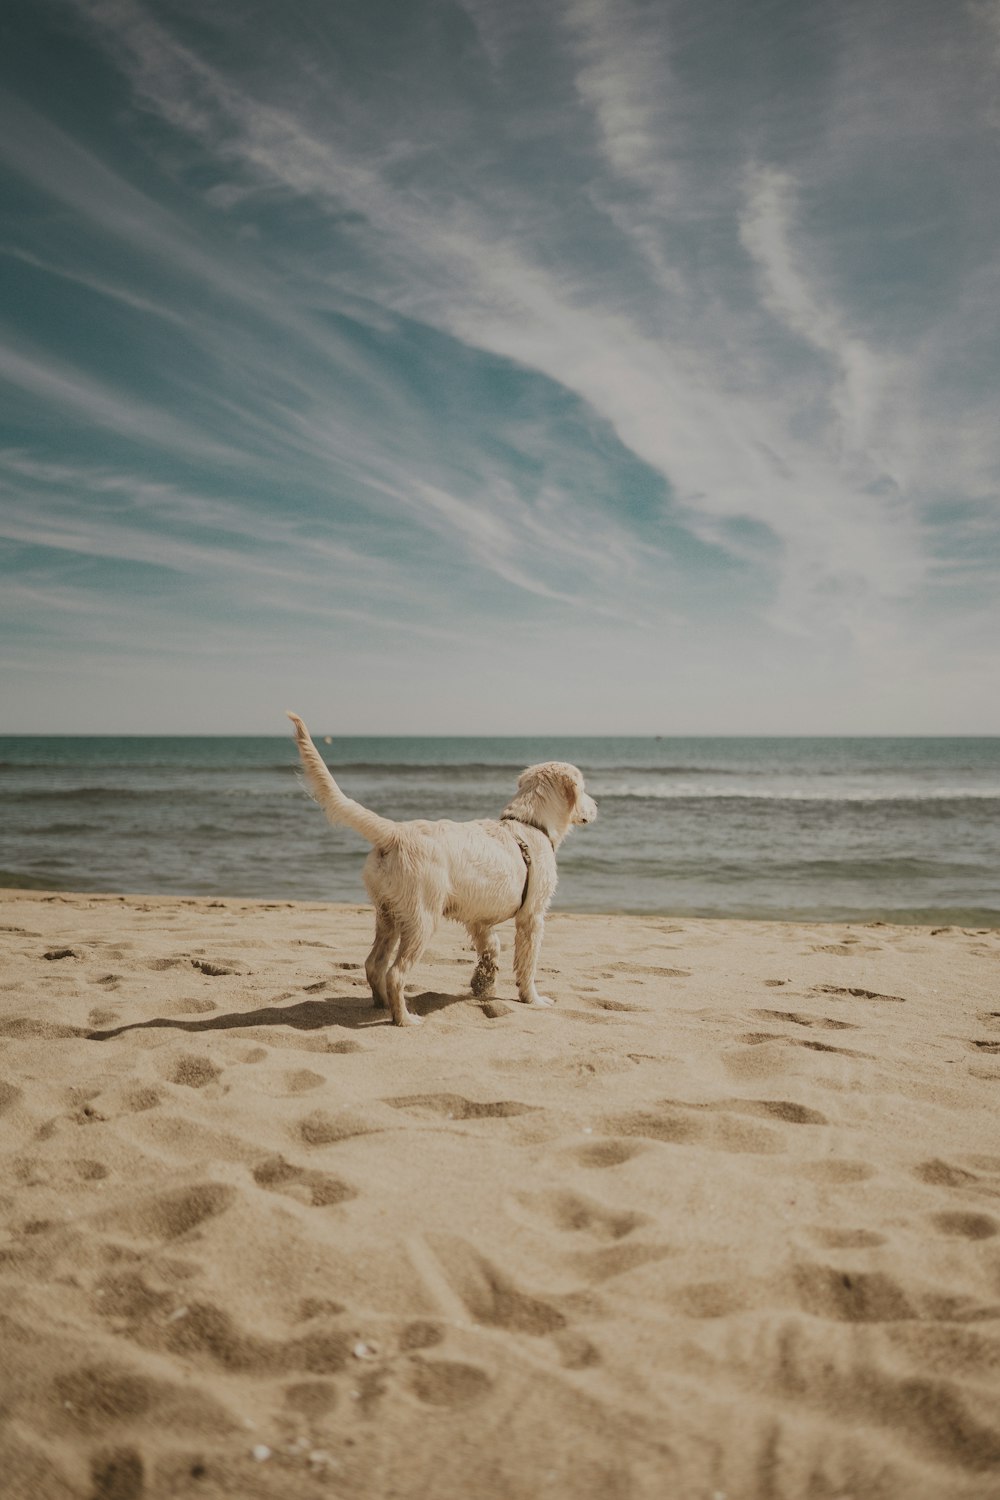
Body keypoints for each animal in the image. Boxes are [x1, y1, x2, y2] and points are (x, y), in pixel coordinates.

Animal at [283, 711, 593, 1020]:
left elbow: (491, 948)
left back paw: (382, 1005)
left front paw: (483, 984)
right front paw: (533, 999)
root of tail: (395, 832)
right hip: (422, 919)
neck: (530, 824)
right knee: (395, 973)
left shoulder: (479, 919)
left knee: (374, 965)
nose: (596, 806)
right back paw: (404, 1019)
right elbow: (528, 963)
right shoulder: (532, 916)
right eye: (584, 789)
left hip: (387, 913)